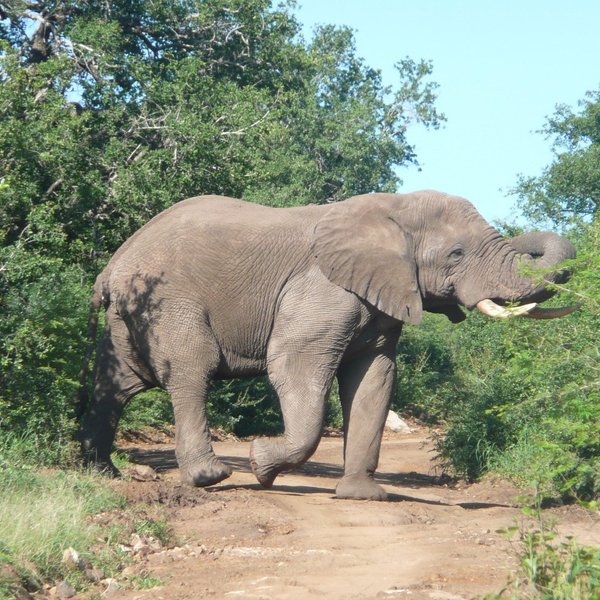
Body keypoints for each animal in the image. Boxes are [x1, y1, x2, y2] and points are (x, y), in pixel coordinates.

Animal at [79, 192, 576, 502]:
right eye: (456, 254)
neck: (392, 208)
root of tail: (114, 263)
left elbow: (374, 379)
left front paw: (364, 496)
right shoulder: (323, 288)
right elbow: (294, 367)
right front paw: (261, 466)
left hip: (129, 314)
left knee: (114, 385)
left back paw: (98, 472)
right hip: (168, 302)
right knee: (189, 373)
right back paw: (211, 477)